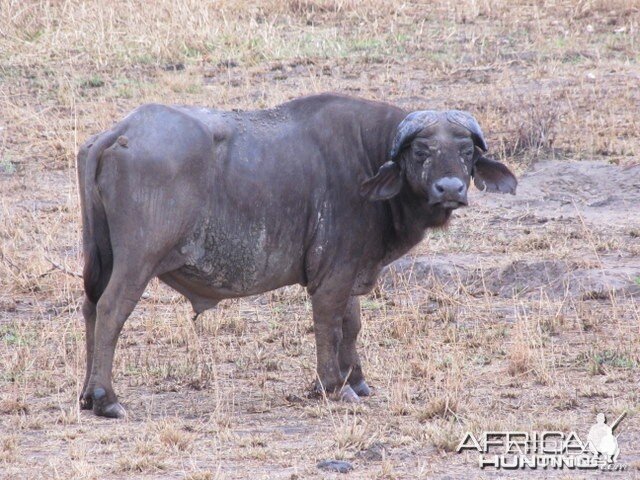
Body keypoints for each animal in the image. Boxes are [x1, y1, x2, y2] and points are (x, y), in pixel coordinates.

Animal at [76, 93, 516, 416]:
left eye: (466, 152)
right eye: (422, 151)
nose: (450, 189)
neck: (367, 155)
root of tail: (121, 131)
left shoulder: (350, 270)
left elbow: (352, 324)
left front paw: (357, 381)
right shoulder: (331, 278)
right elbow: (330, 325)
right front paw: (331, 386)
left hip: (102, 257)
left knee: (91, 307)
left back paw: (86, 394)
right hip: (138, 260)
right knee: (112, 309)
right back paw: (106, 398)